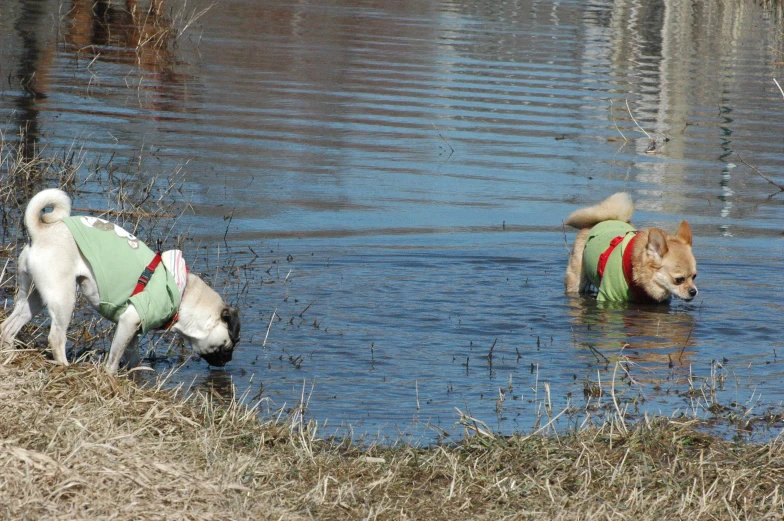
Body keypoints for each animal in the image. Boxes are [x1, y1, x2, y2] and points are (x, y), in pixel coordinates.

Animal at [0, 189, 239, 372]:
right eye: (229, 345)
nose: (229, 360)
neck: (184, 296)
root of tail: (40, 233)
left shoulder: (133, 330)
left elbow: (132, 356)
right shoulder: (128, 321)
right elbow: (114, 358)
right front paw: (110, 376)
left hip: (38, 295)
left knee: (10, 325)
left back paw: (9, 351)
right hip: (63, 298)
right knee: (56, 338)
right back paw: (66, 367)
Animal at [564, 193, 700, 302]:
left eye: (694, 277)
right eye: (679, 279)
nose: (693, 291)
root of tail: (605, 219)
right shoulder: (608, 297)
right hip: (576, 279)